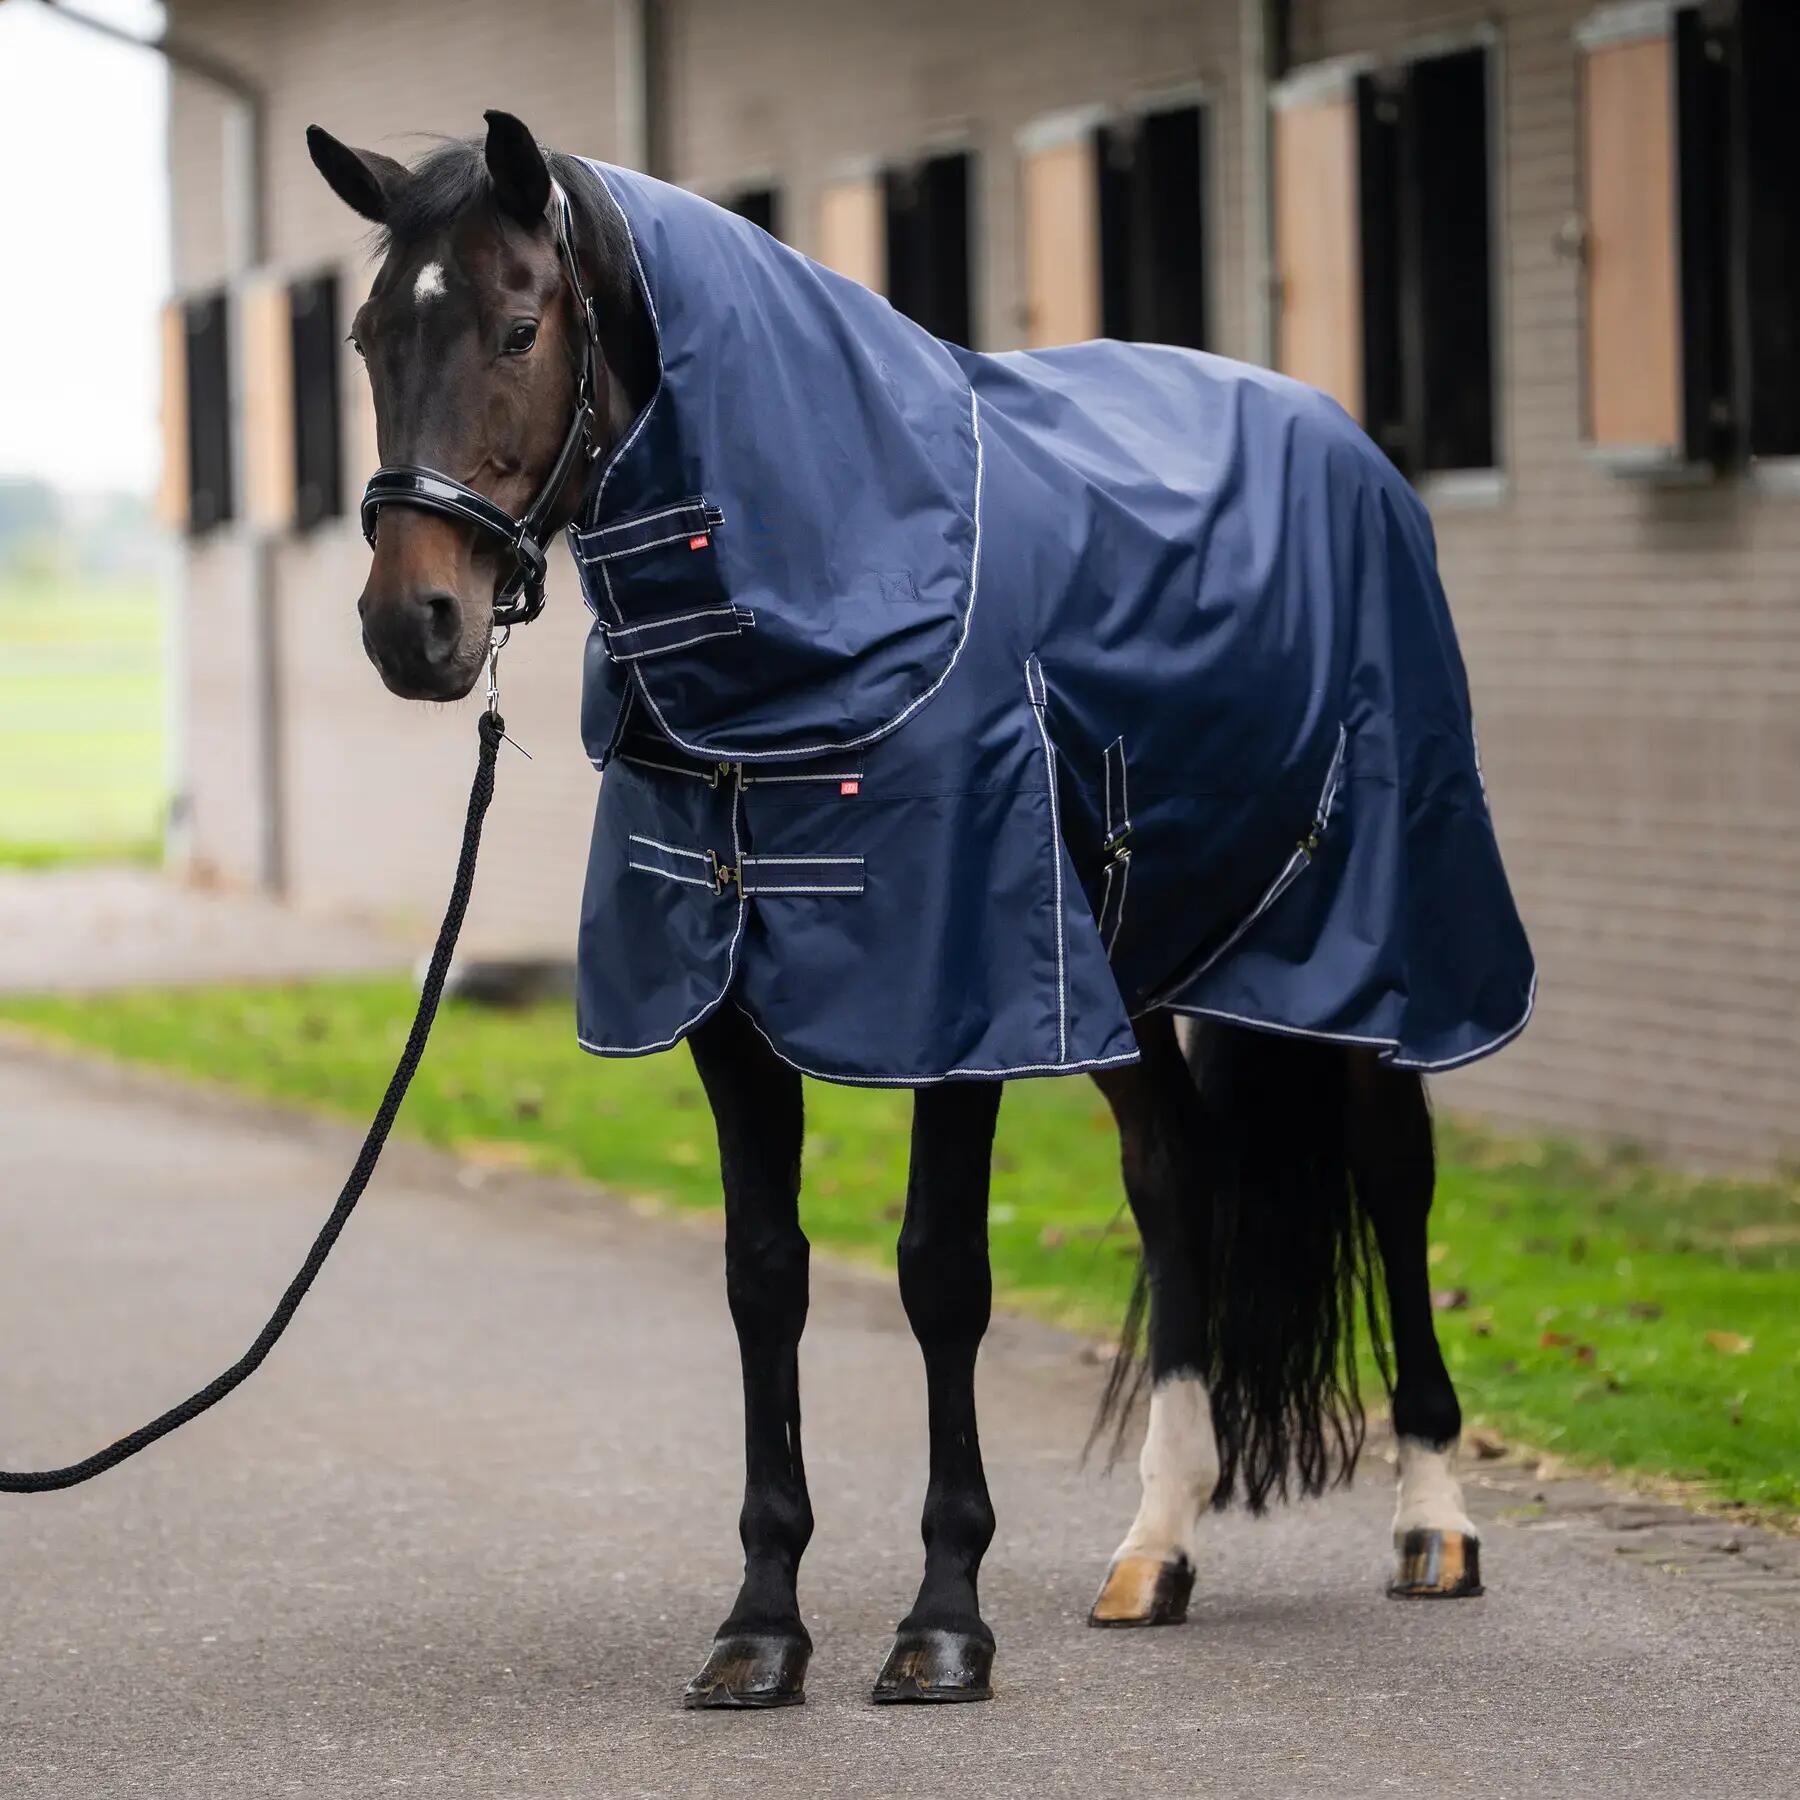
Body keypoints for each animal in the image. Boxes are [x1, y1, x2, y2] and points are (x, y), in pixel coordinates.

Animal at [307, 109, 1527, 1708]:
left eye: (518, 326)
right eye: (370, 337)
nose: (414, 627)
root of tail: (1344, 444)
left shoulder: (962, 1006)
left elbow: (941, 1276)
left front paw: (945, 1620)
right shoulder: (725, 1010)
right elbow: (764, 1279)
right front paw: (761, 1624)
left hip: (1374, 950)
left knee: (1395, 1174)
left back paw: (1434, 1521)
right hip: (1133, 972)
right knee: (1177, 1187)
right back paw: (1158, 1545)